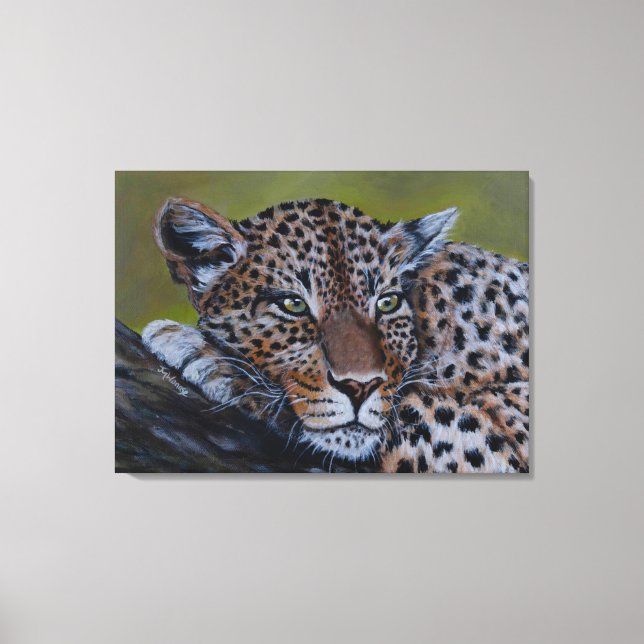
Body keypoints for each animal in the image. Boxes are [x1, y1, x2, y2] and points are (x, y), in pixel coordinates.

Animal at [142, 196, 529, 473]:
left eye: (387, 303)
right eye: (293, 305)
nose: (360, 387)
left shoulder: (512, 420)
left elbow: (409, 410)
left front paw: (207, 356)